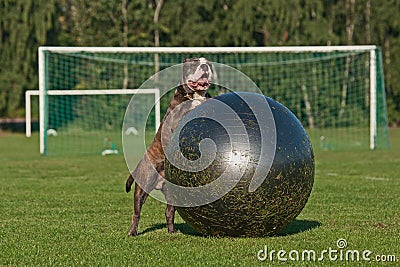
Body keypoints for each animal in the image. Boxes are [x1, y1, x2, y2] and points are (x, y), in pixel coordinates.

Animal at [125, 58, 212, 237]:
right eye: (194, 63)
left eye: (207, 62)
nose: (204, 65)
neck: (196, 96)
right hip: (142, 187)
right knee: (136, 212)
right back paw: (133, 232)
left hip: (172, 193)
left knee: (169, 211)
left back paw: (172, 231)